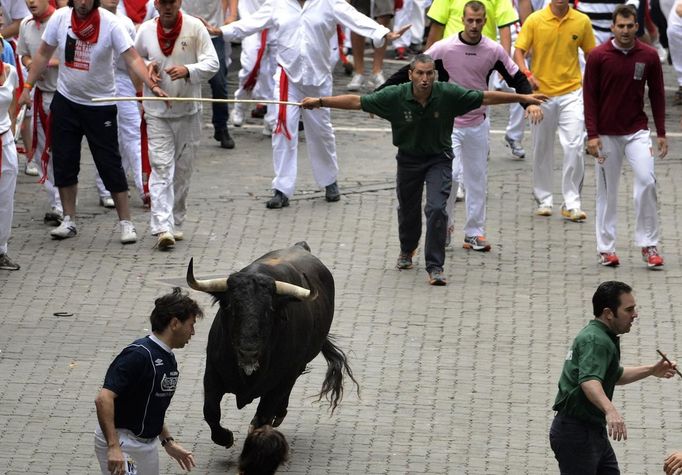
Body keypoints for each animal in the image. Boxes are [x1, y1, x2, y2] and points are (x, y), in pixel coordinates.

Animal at [183, 244, 358, 448]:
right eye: (232, 307)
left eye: (269, 311)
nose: (248, 352)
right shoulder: (212, 372)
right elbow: (210, 411)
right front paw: (225, 437)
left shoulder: (282, 379)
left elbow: (262, 416)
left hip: (296, 369)